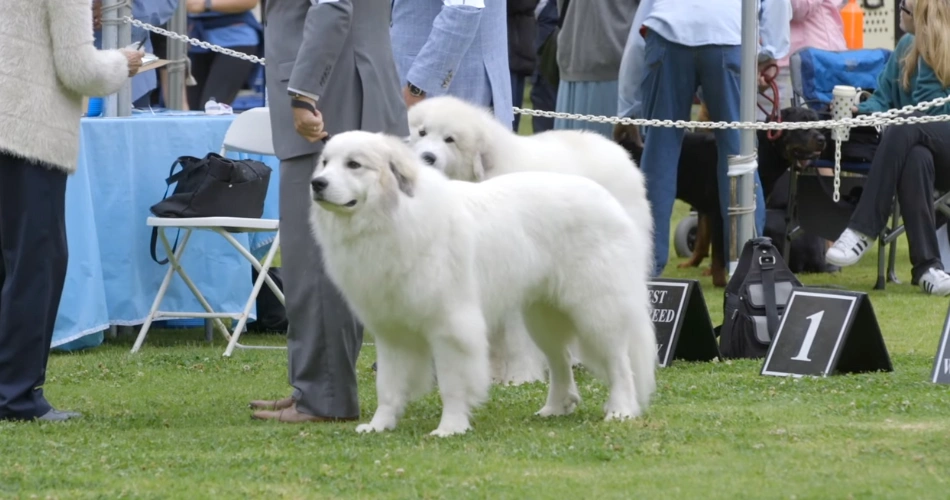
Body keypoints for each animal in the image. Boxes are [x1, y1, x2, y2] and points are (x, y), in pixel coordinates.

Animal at [308, 132, 660, 438]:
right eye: (325, 162)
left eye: (354, 164)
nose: (317, 183)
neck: (393, 218)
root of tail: (607, 198)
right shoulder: (392, 331)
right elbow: (389, 386)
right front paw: (379, 425)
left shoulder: (452, 328)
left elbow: (452, 383)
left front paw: (449, 428)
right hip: (543, 317)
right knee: (560, 362)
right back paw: (555, 408)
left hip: (597, 310)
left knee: (619, 363)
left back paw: (621, 410)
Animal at [406, 97, 660, 386]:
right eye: (422, 132)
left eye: (450, 140)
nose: (427, 157)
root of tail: (617, 151)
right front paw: (493, 375)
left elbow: (518, 338)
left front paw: (520, 376)